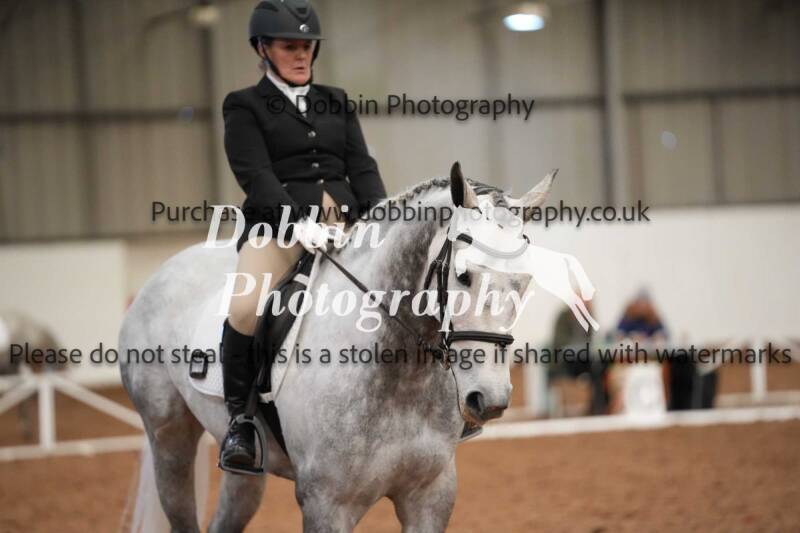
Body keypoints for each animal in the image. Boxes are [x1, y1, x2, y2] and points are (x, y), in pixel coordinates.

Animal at [119, 163, 573, 532]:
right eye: (463, 275)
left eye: (525, 280)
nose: (490, 399)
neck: (400, 374)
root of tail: (161, 273)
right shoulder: (327, 504)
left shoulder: (430, 496)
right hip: (169, 437)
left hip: (244, 471)